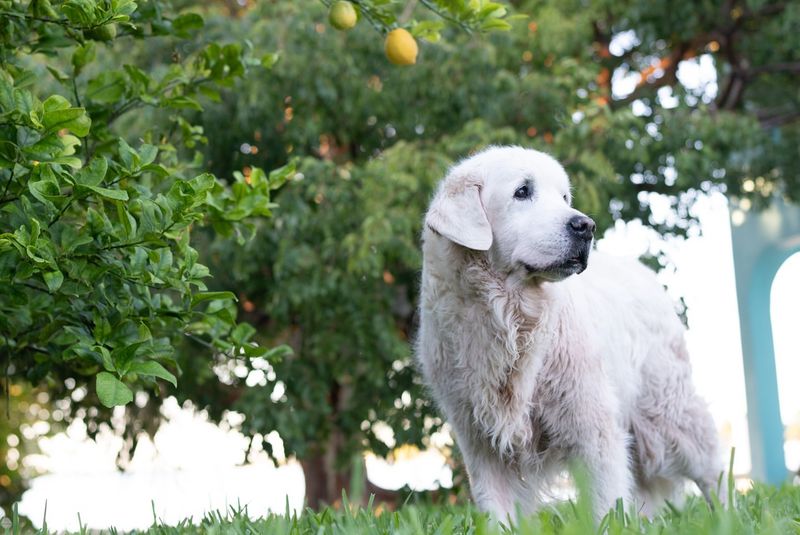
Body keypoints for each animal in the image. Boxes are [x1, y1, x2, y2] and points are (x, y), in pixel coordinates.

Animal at [416, 147, 720, 524]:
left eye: (564, 198)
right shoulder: (481, 443)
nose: (585, 226)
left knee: (711, 466)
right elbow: (498, 512)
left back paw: (728, 512)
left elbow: (606, 505)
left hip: (668, 412)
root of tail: (643, 272)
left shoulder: (594, 428)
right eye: (522, 192)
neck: (511, 317)